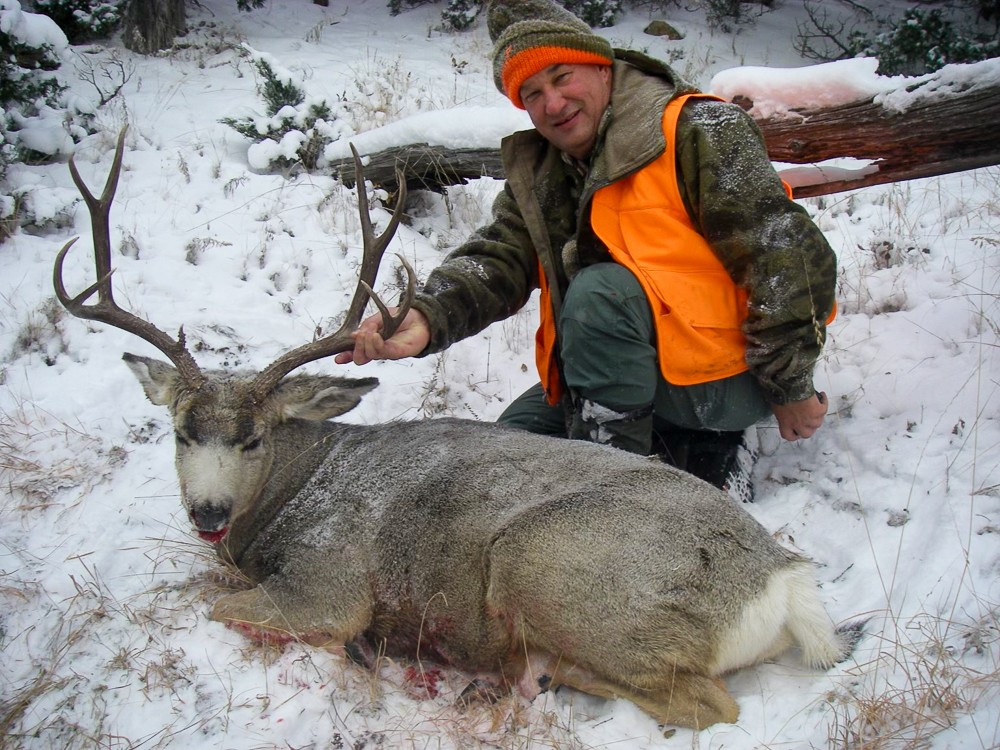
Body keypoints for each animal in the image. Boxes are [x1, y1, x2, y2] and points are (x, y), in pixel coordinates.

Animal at [54, 132, 852, 732]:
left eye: (254, 437)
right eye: (179, 432)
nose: (208, 513)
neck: (295, 491)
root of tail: (782, 579)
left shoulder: (326, 582)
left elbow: (224, 606)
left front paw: (358, 653)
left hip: (552, 565)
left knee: (708, 704)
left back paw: (516, 675)